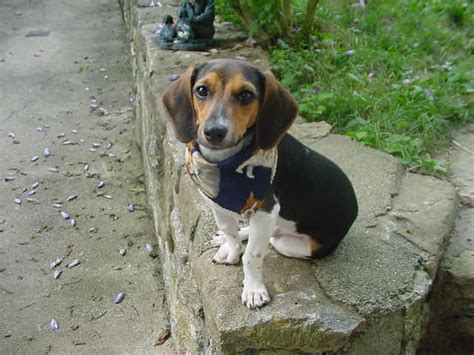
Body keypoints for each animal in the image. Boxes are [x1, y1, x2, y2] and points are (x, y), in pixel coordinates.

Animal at [161, 58, 358, 308]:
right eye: (202, 90)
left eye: (246, 95)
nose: (214, 132)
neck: (225, 164)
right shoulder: (217, 203)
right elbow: (229, 230)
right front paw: (231, 248)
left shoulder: (266, 210)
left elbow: (252, 255)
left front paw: (253, 289)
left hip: (294, 245)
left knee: (273, 237)